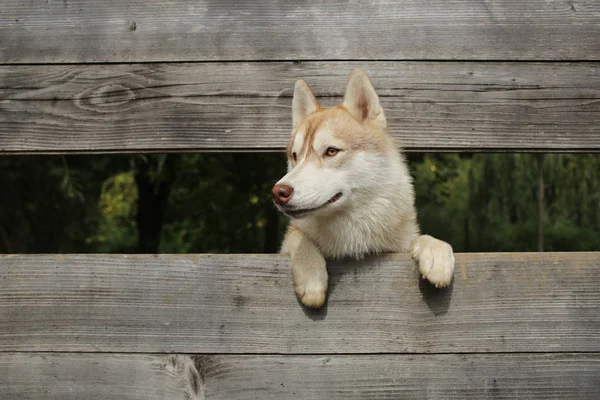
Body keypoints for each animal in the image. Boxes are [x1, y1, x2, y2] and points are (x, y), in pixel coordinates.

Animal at [272, 69, 454, 308]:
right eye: (295, 156)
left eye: (331, 151)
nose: (279, 192)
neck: (353, 233)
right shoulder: (289, 239)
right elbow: (300, 239)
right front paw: (312, 279)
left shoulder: (399, 246)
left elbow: (424, 238)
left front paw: (437, 254)